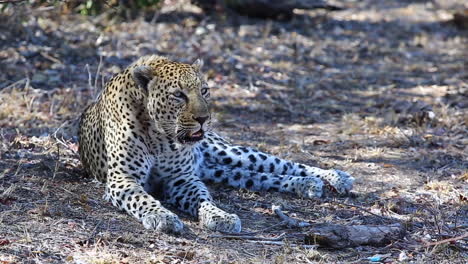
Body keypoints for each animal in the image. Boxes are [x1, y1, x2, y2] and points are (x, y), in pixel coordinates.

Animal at [78, 55, 352, 233]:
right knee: (259, 176)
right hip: (220, 170)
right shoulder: (123, 179)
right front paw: (161, 216)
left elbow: (203, 199)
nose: (203, 119)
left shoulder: (182, 178)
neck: (161, 137)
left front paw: (219, 216)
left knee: (279, 163)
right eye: (178, 95)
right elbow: (143, 199)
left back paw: (335, 177)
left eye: (205, 90)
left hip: (226, 152)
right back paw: (308, 185)